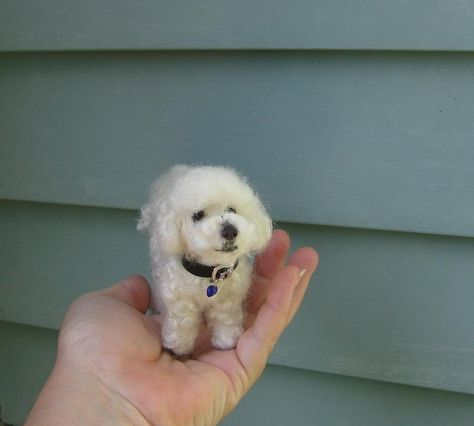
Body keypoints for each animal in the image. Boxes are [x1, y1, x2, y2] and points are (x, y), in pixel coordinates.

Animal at [137, 165, 272, 354]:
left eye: (232, 210)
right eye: (198, 215)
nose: (230, 230)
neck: (209, 273)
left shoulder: (228, 301)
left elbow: (226, 319)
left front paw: (227, 341)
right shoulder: (180, 301)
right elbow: (182, 323)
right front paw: (178, 347)